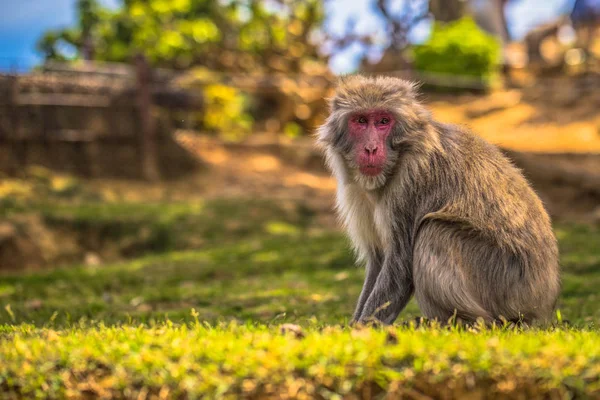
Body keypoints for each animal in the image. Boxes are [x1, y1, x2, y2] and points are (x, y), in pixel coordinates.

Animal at [316, 74, 560, 324]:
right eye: (361, 121)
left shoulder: (412, 181)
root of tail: (542, 306)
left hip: (506, 283)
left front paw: (362, 328)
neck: (400, 158)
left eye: (383, 121)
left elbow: (399, 264)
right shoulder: (358, 191)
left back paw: (465, 322)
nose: (371, 148)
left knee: (434, 231)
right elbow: (379, 259)